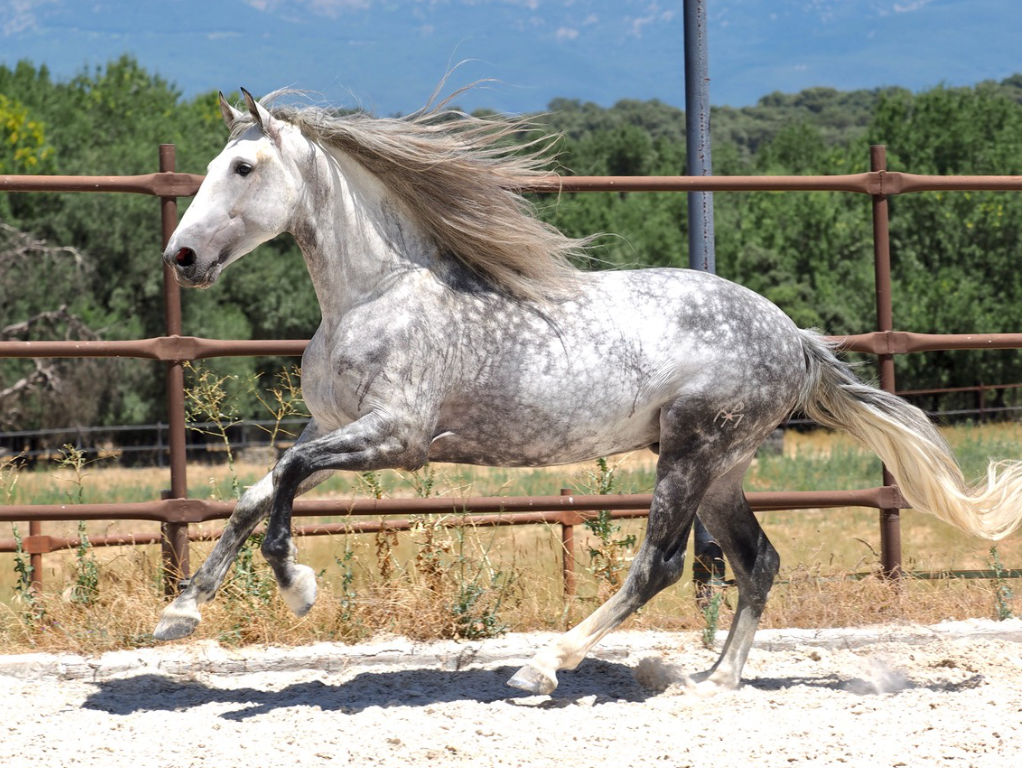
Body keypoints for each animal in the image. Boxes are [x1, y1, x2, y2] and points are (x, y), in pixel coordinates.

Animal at [156, 88, 1022, 695]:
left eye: (242, 169)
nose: (182, 257)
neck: (375, 293)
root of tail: (795, 338)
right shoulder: (329, 423)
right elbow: (255, 489)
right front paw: (182, 610)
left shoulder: (396, 438)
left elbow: (286, 480)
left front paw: (295, 584)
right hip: (723, 467)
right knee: (758, 562)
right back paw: (712, 681)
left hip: (690, 452)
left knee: (660, 566)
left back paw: (545, 665)